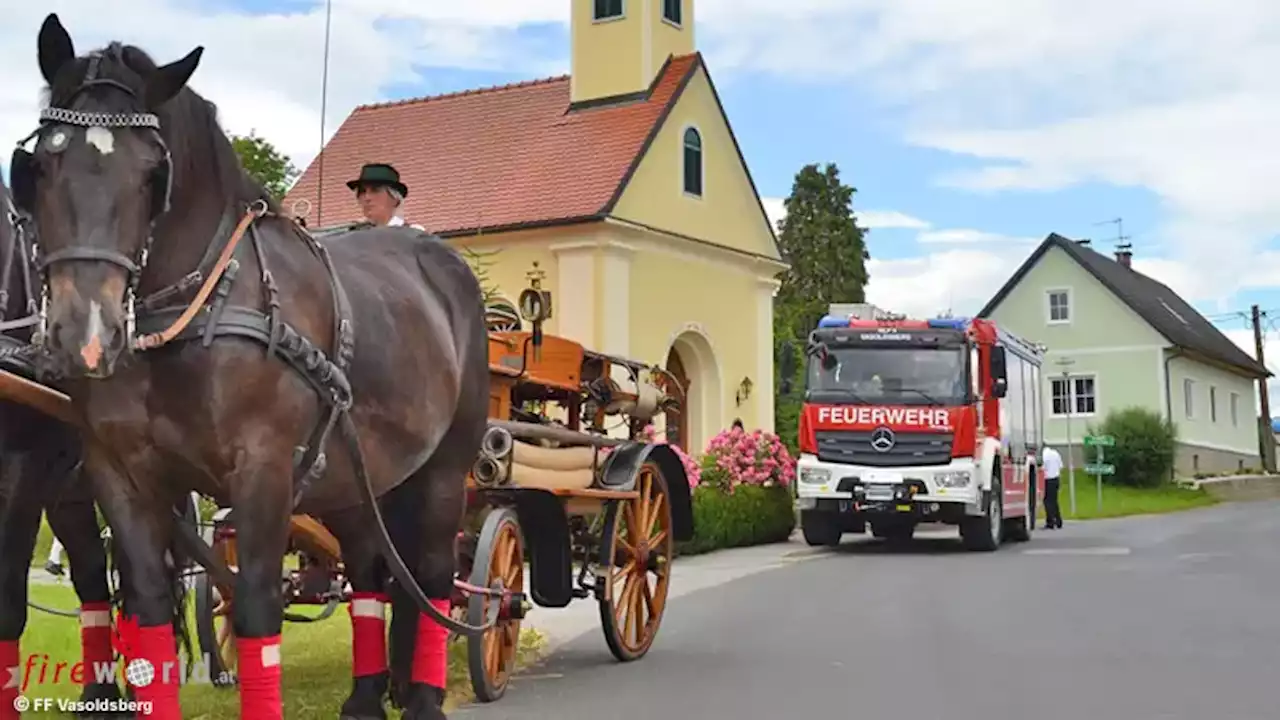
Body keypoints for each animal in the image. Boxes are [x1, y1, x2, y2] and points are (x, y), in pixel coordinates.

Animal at [16, 12, 494, 717]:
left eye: (152, 173)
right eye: (42, 161)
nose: (87, 335)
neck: (187, 317)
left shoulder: (264, 469)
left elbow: (256, 611)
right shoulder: (120, 474)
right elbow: (149, 612)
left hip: (443, 470)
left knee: (431, 575)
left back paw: (424, 697)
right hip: (359, 476)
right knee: (373, 573)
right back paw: (368, 694)